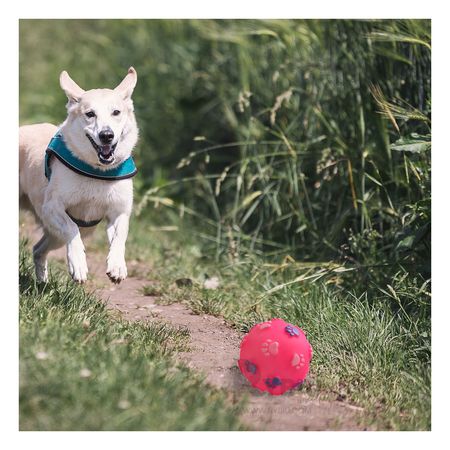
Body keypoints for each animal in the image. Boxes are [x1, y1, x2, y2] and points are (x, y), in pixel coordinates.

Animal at [19, 68, 139, 284]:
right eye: (90, 114)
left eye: (116, 112)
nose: (106, 135)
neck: (97, 171)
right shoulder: (52, 207)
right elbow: (71, 228)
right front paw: (78, 264)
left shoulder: (119, 211)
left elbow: (120, 237)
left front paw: (117, 266)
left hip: (57, 235)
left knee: (38, 249)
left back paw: (42, 282)